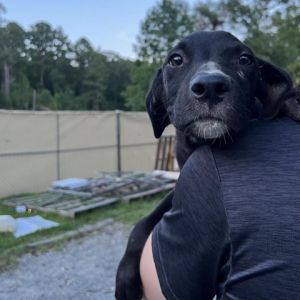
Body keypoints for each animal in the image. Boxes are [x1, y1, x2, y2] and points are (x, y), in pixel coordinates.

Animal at [115, 31, 300, 300]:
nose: (210, 87)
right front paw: (125, 276)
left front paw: (292, 103)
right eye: (175, 60)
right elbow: (142, 223)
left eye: (245, 59)